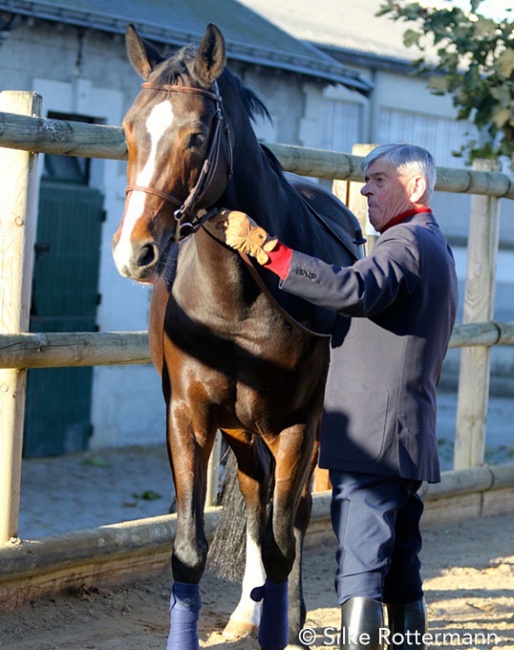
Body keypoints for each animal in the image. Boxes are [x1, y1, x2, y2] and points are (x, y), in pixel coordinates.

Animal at [111, 22, 360, 644]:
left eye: (197, 136)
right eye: (128, 128)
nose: (134, 252)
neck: (235, 304)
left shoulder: (296, 425)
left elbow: (281, 542)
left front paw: (283, 623)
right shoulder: (188, 418)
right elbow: (189, 551)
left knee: (292, 517)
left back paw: (283, 613)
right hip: (243, 430)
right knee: (257, 499)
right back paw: (248, 612)